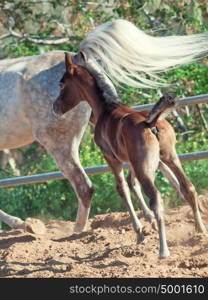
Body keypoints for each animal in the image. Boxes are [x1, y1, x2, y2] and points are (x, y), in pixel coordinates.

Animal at [52, 52, 206, 258]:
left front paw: (140, 232)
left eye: (61, 83)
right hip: (170, 158)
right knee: (188, 187)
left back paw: (163, 250)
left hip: (145, 167)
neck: (106, 109)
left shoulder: (112, 159)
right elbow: (132, 184)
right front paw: (148, 223)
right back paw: (200, 230)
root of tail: (151, 123)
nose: (55, 107)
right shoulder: (134, 162)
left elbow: (123, 188)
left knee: (156, 198)